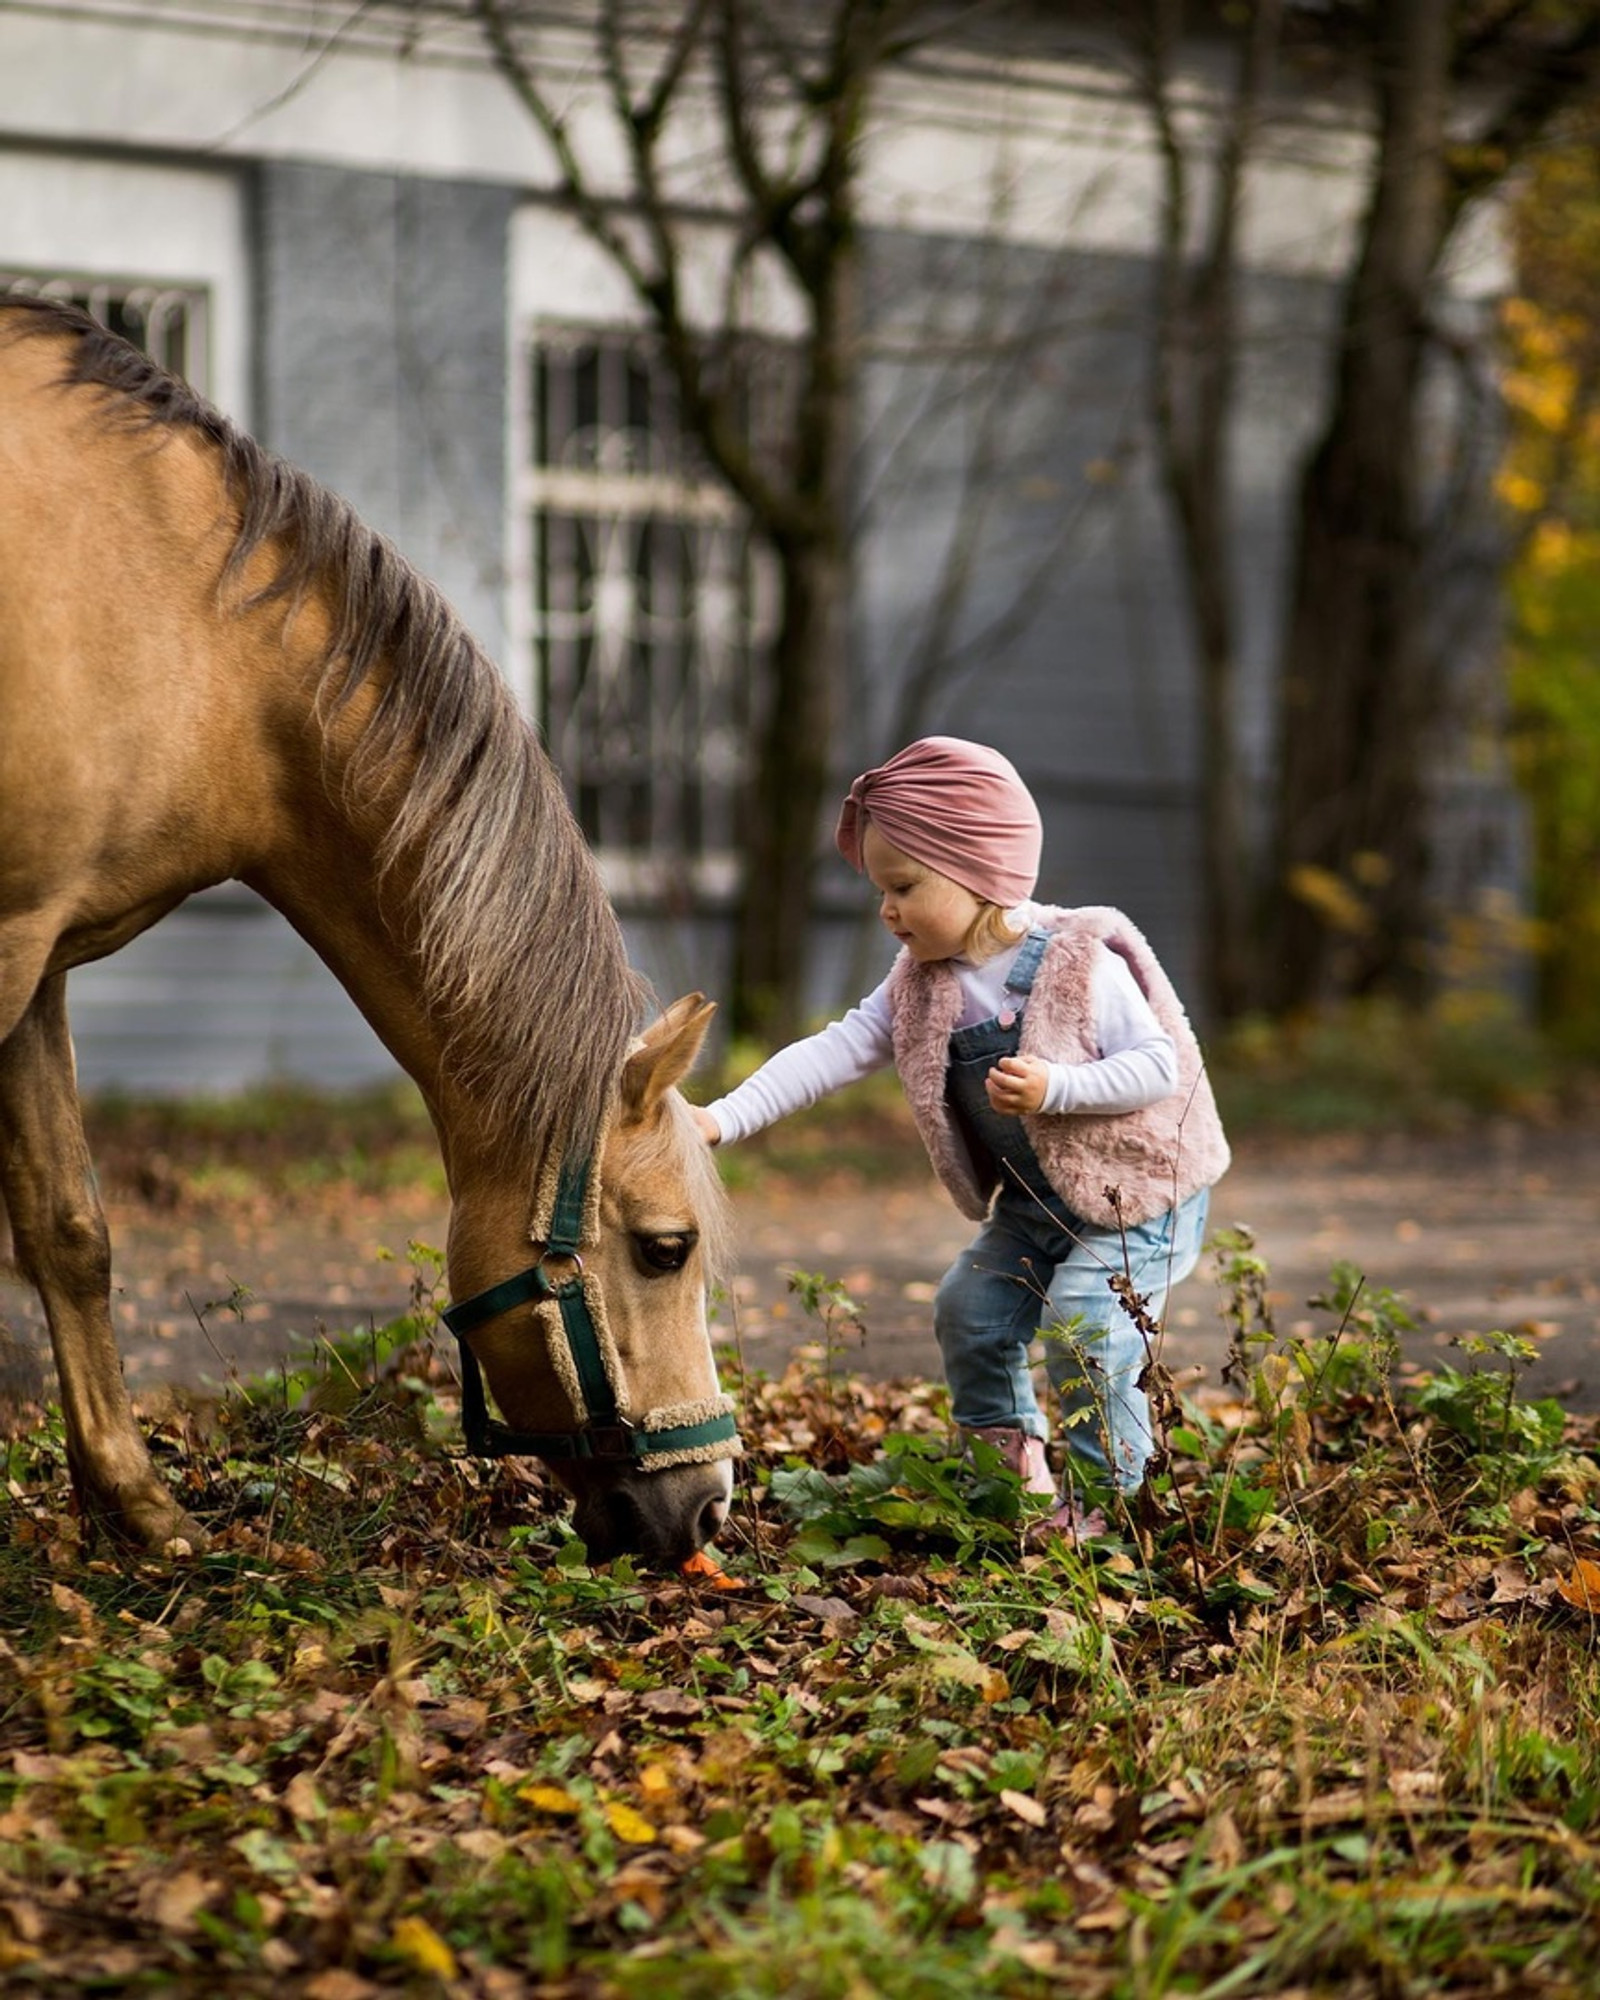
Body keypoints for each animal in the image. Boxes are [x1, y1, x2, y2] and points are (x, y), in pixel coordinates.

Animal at [0, 296, 736, 1568]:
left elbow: (69, 1228)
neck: (196, 637)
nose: (709, 1502)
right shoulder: (5, 941)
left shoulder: (39, 956)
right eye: (663, 1247)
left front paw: (138, 1507)